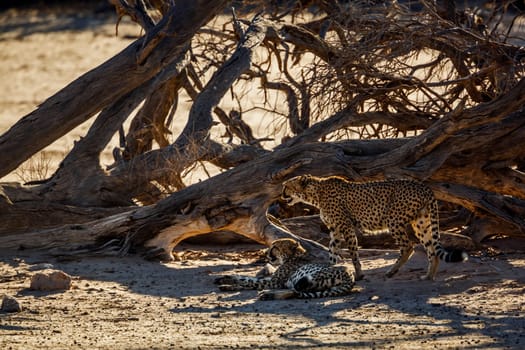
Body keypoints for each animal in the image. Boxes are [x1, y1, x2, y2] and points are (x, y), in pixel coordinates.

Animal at [280, 175, 468, 282]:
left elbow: (354, 253)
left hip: (394, 220)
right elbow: (332, 251)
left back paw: (392, 272)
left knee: (408, 246)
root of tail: (423, 186)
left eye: (286, 186)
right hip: (421, 223)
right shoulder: (335, 229)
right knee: (431, 249)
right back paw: (428, 276)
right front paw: (329, 269)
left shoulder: (346, 226)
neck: (316, 194)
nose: (281, 195)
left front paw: (359, 275)